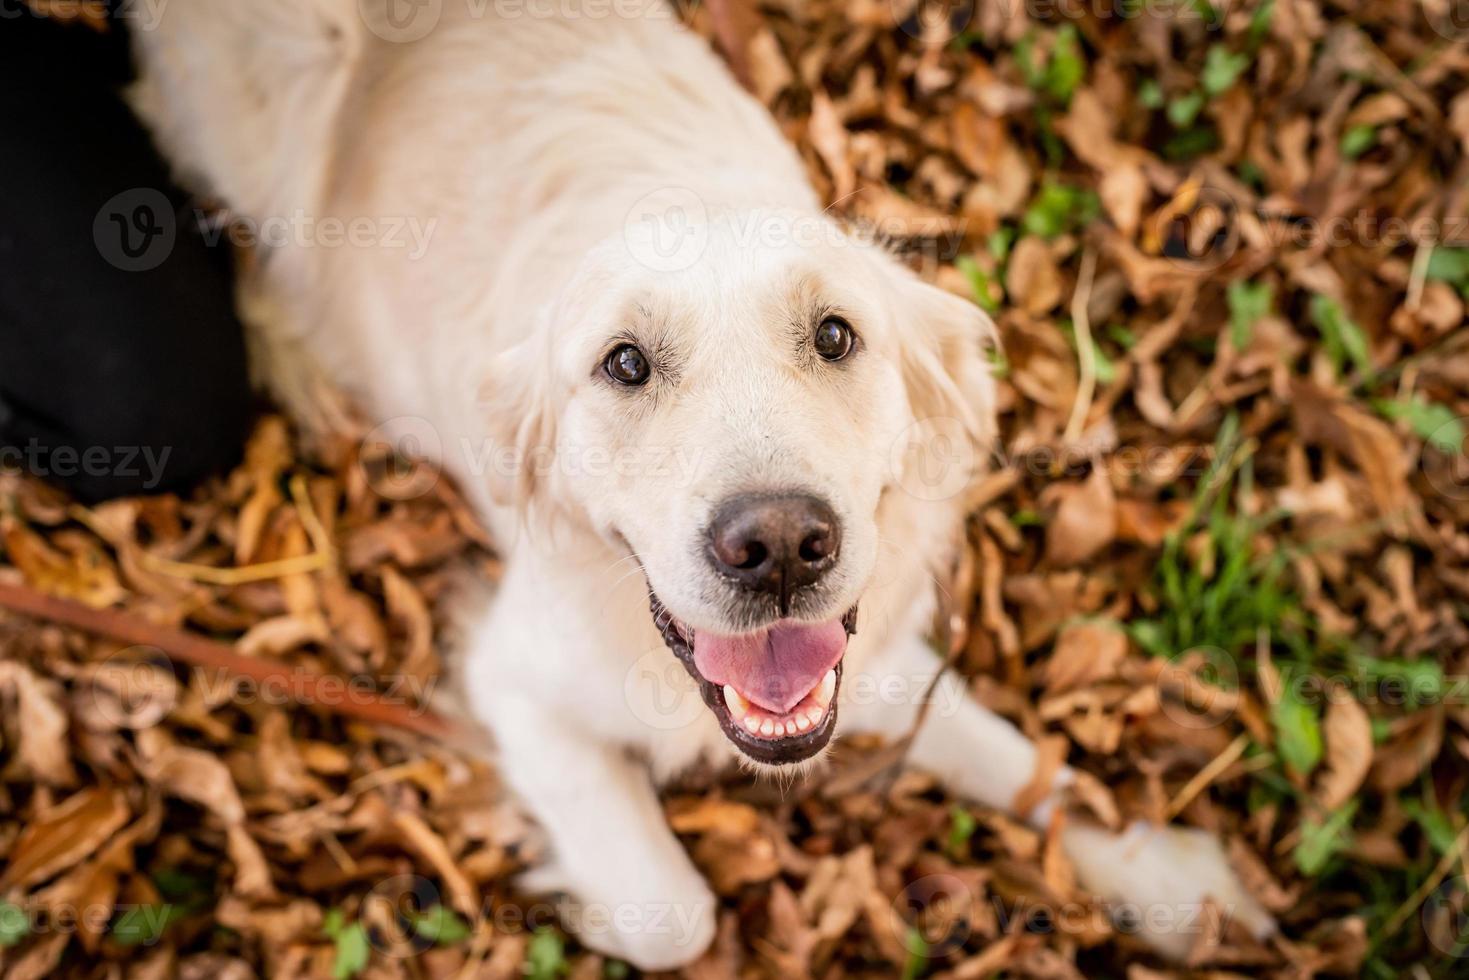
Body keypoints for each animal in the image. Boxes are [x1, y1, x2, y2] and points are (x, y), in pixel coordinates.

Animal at [129, 0, 1275, 963]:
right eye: (625, 363)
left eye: (833, 336)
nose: (778, 548)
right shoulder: (516, 682)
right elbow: (673, 915)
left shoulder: (868, 651)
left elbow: (1018, 759)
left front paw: (1164, 875)